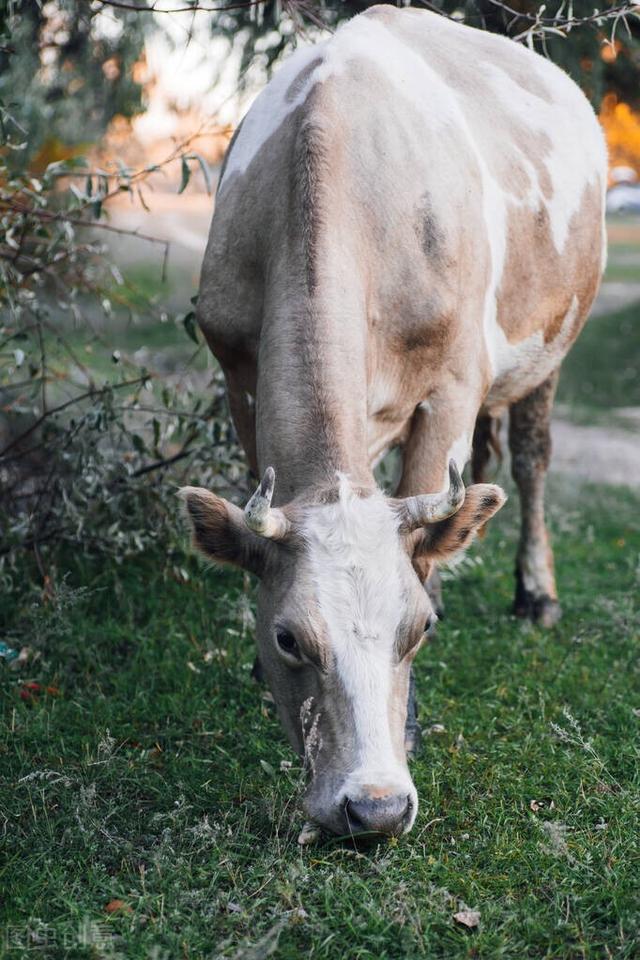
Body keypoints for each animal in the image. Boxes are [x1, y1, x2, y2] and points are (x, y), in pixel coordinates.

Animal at [179, 3, 604, 836]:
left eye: (418, 634)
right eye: (288, 638)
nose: (374, 807)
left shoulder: (452, 384)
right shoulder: (239, 373)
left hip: (551, 344)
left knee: (530, 457)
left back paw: (535, 593)